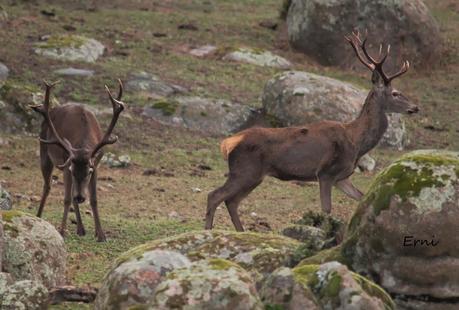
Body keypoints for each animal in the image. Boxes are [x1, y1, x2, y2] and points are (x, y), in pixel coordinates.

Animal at [31, 78, 125, 241]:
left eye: (88, 172)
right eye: (73, 171)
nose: (81, 197)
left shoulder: (96, 165)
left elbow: (94, 199)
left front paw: (101, 235)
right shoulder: (66, 163)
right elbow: (67, 199)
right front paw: (62, 231)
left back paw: (81, 228)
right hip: (44, 152)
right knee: (48, 186)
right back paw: (38, 217)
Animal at [205, 30, 420, 230]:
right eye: (395, 93)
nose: (416, 107)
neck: (356, 142)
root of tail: (228, 142)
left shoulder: (342, 177)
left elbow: (362, 198)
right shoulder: (325, 172)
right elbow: (326, 209)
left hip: (252, 175)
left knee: (231, 201)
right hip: (245, 170)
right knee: (214, 195)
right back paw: (210, 230)